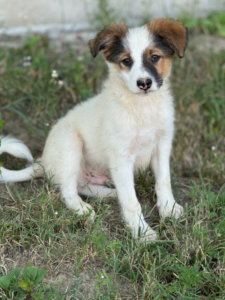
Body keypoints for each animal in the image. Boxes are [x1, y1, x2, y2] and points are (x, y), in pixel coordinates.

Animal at [0, 18, 188, 241]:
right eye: (126, 61)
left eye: (155, 57)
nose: (144, 83)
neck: (142, 107)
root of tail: (43, 162)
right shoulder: (121, 158)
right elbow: (132, 201)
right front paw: (141, 233)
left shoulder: (162, 145)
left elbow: (163, 181)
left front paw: (169, 209)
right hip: (70, 143)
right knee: (68, 190)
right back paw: (82, 209)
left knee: (83, 185)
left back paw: (110, 194)